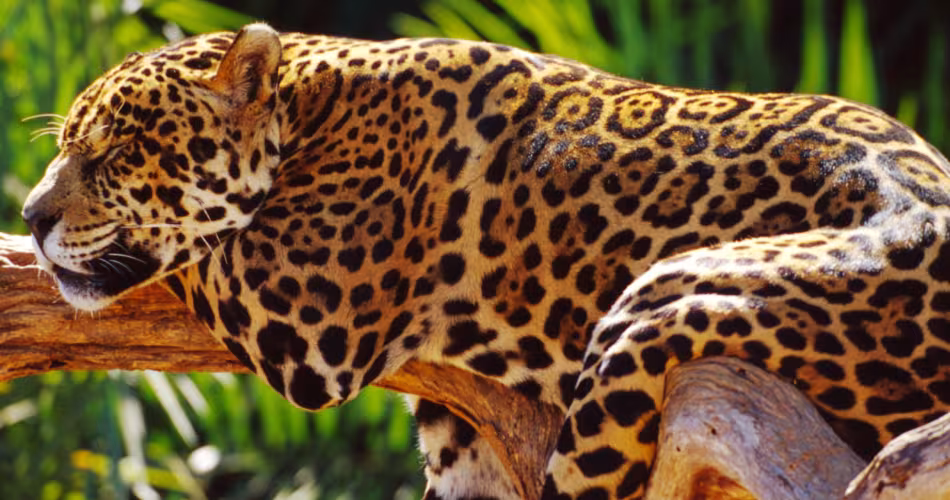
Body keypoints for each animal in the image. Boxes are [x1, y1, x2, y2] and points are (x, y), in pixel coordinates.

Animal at [21, 22, 950, 499]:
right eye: (65, 147)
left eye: (114, 155)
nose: (29, 217)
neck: (310, 99)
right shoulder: (461, 441)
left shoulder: (306, 311)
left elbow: (197, 246)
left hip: (667, 305)